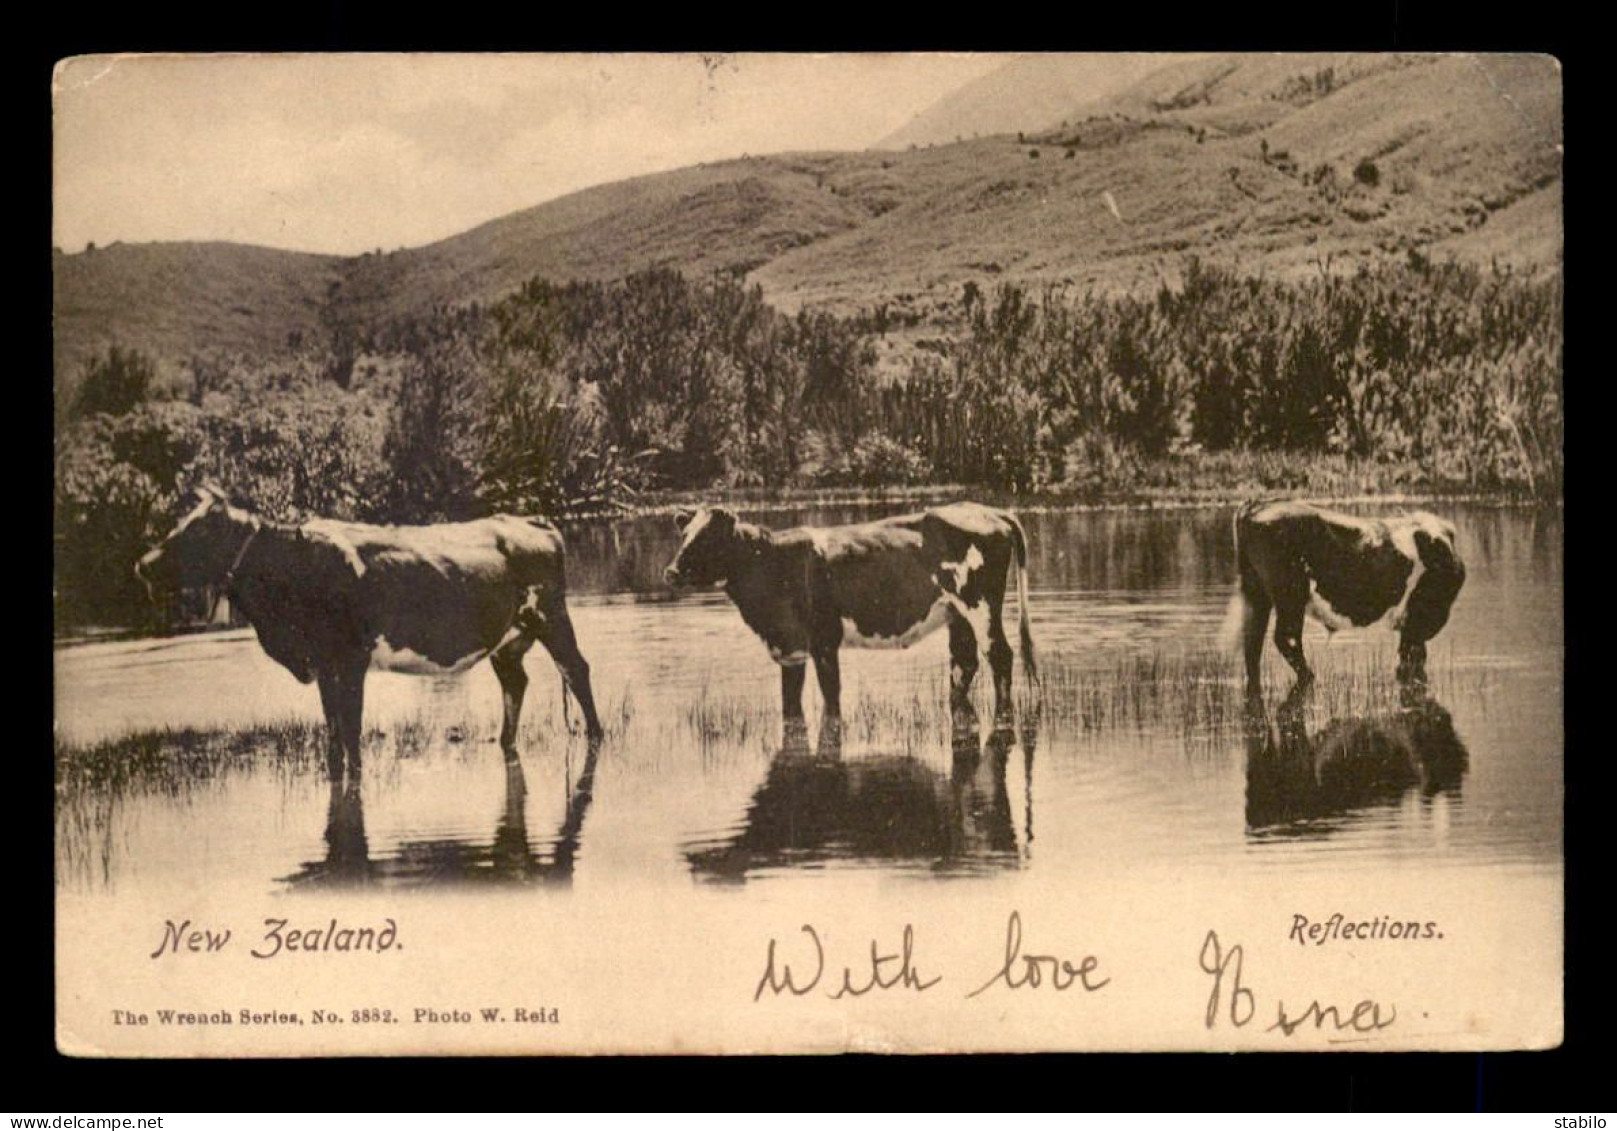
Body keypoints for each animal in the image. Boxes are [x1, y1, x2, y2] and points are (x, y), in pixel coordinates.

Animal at [135, 485, 604, 779]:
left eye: (196, 529)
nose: (142, 563)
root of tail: (533, 520)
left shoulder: (350, 658)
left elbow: (352, 731)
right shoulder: (324, 664)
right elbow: (333, 734)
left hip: (550, 615)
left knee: (576, 670)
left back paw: (596, 735)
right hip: (506, 639)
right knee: (515, 682)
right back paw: (504, 742)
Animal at [666, 501, 1034, 715]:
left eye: (709, 537)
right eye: (684, 534)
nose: (670, 572)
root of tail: (989, 510)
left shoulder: (824, 641)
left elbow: (831, 698)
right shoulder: (790, 647)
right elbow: (790, 702)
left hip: (981, 604)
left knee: (1000, 656)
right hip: (956, 612)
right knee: (964, 662)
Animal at [1222, 501, 1468, 689]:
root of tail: (1255, 506)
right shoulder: (1417, 620)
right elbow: (1413, 657)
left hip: (1257, 596)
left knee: (1253, 644)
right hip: (1290, 594)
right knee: (1286, 637)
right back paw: (1310, 677)